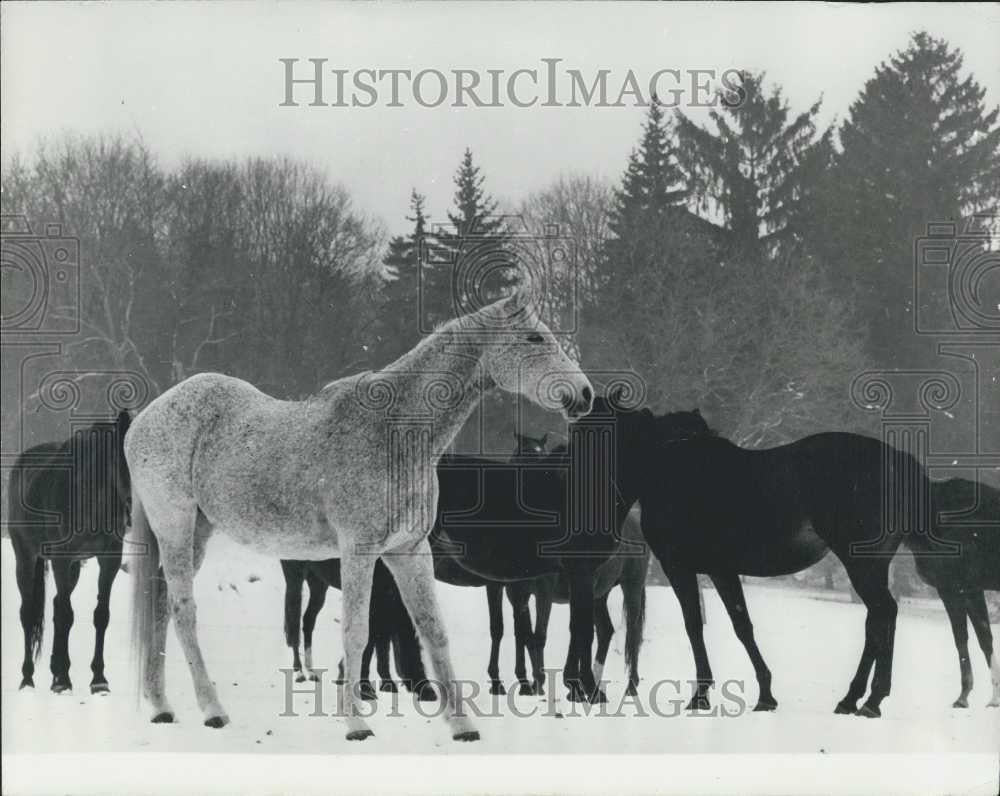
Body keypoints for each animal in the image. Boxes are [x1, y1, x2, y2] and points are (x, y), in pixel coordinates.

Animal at [8, 414, 133, 692]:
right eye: (119, 458)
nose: (130, 508)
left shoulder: (109, 560)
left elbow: (100, 615)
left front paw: (98, 680)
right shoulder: (61, 559)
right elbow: (66, 615)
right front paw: (64, 680)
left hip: (74, 566)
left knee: (55, 605)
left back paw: (54, 671)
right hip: (26, 558)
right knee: (28, 612)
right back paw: (28, 678)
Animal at [640, 408, 952, 720]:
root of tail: (898, 460)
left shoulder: (685, 568)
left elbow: (702, 626)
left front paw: (709, 696)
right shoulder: (718, 571)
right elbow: (739, 625)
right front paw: (762, 695)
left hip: (860, 564)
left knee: (883, 613)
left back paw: (870, 700)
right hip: (872, 565)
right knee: (878, 618)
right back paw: (854, 699)